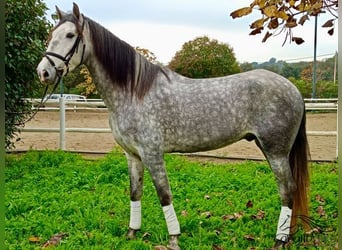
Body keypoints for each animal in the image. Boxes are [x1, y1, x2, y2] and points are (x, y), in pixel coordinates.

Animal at [36, 2, 310, 249]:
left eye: (70, 35)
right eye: (51, 35)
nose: (43, 72)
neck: (134, 91)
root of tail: (293, 89)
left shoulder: (152, 153)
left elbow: (164, 194)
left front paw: (174, 239)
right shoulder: (132, 155)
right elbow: (135, 192)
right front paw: (132, 233)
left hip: (276, 151)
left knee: (287, 190)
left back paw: (280, 240)